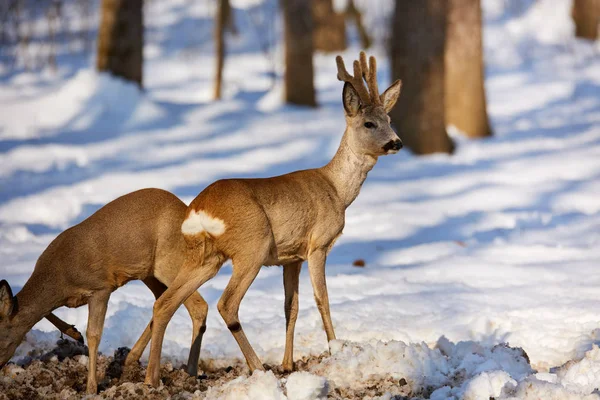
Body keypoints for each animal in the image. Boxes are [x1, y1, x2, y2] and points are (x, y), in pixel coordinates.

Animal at [0, 188, 210, 394]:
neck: (60, 278)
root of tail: (185, 209)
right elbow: (44, 313)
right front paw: (74, 332)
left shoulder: (100, 287)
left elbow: (94, 334)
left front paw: (91, 388)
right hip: (148, 271)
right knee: (162, 299)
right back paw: (131, 357)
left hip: (170, 260)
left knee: (197, 304)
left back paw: (189, 373)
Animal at [142, 51, 400, 386]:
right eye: (369, 123)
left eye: (389, 120)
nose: (396, 142)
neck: (337, 190)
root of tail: (199, 210)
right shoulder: (318, 244)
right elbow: (322, 299)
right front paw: (335, 348)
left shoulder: (291, 257)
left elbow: (291, 305)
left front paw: (289, 364)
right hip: (253, 245)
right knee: (227, 304)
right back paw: (257, 367)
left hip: (205, 256)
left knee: (165, 303)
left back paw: (151, 378)